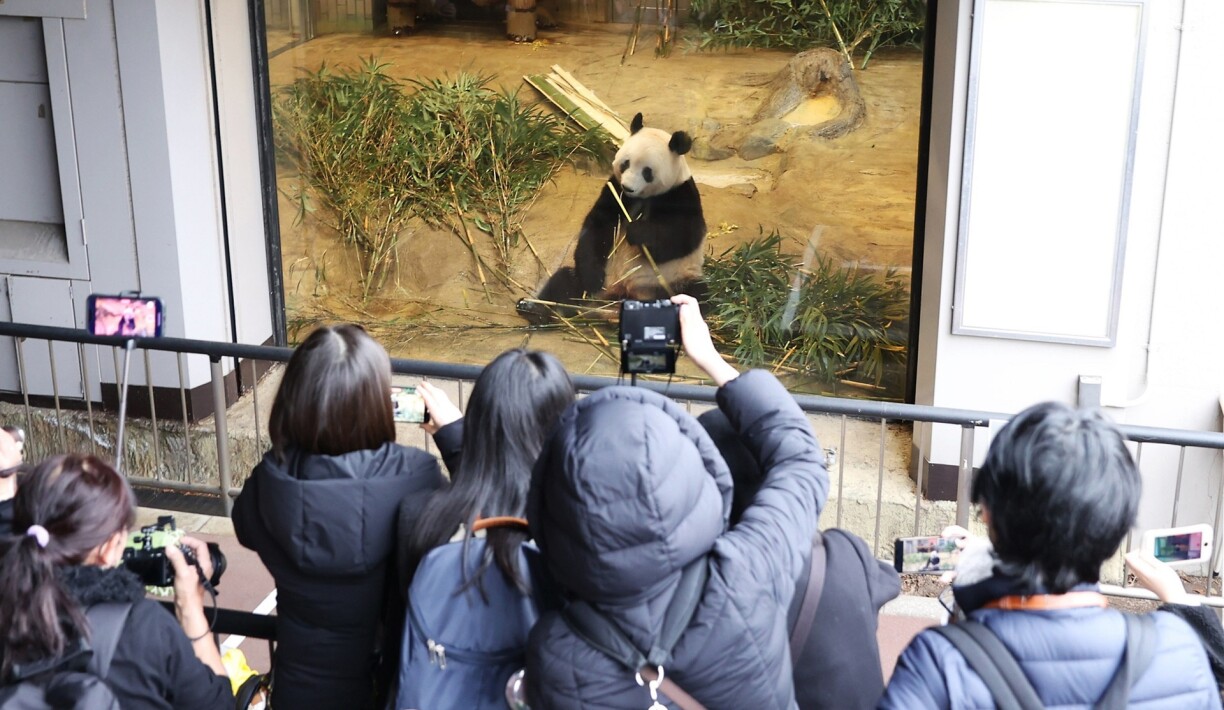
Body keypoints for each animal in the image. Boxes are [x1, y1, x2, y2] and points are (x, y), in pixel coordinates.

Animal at [521, 113, 706, 322]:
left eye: (647, 172)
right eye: (626, 163)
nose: (628, 187)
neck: (640, 198)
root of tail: (620, 298)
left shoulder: (681, 192)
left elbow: (684, 235)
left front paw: (639, 232)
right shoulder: (614, 190)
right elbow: (598, 228)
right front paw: (593, 277)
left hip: (673, 279)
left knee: (698, 294)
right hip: (600, 285)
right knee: (566, 281)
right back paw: (537, 310)